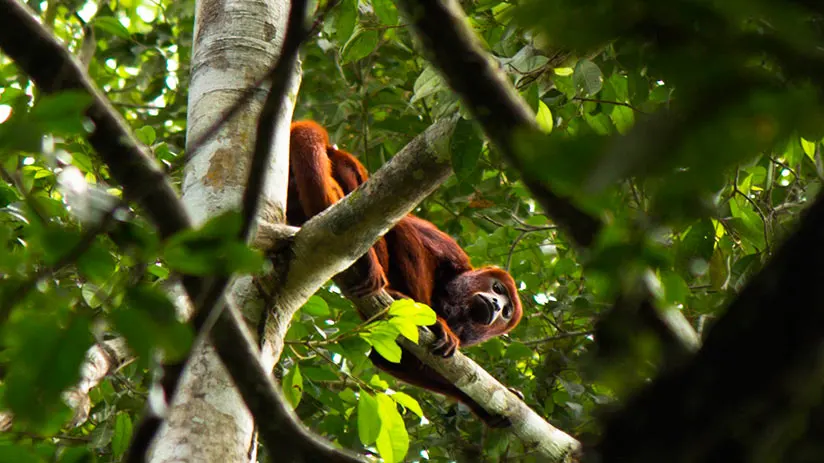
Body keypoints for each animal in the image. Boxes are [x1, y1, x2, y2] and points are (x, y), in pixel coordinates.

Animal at [288, 120, 520, 428]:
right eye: (497, 289)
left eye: (506, 312)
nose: (495, 305)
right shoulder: (454, 253)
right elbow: (401, 227)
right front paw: (435, 323)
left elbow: (395, 360)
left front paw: (484, 410)